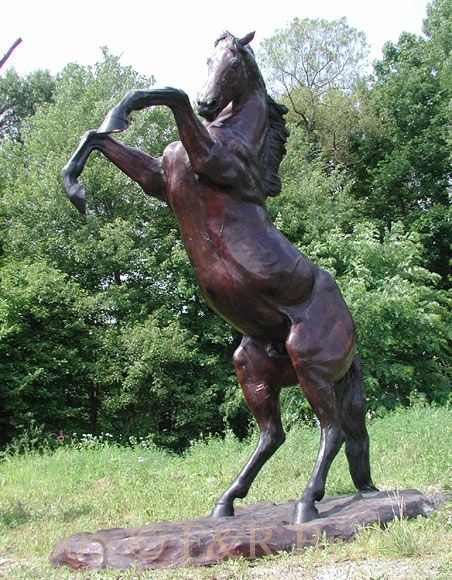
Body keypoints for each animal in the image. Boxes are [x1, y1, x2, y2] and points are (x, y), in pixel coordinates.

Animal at [61, 29, 376, 524]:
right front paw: (73, 186)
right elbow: (96, 137)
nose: (208, 105)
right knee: (274, 434)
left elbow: (169, 94)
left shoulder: (208, 158)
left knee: (332, 430)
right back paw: (226, 502)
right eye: (208, 59)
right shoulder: (157, 180)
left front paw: (120, 115)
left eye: (232, 63)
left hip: (311, 366)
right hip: (253, 367)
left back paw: (306, 504)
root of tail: (350, 329)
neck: (231, 138)